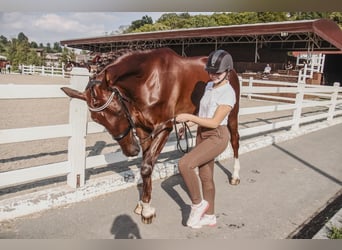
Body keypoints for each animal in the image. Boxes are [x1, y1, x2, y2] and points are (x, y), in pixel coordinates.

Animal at [60, 47, 240, 224]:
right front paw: (143, 204)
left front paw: (146, 211)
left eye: (118, 111)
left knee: (235, 140)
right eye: (97, 120)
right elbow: (146, 165)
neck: (148, 80)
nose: (131, 151)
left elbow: (146, 167)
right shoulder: (143, 129)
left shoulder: (164, 127)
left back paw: (235, 176)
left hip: (232, 114)